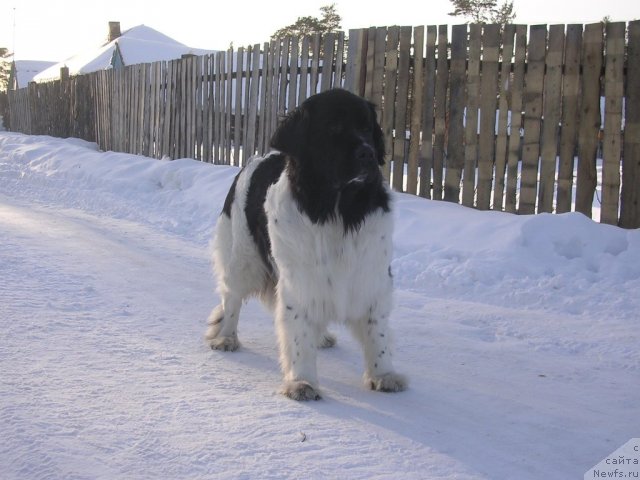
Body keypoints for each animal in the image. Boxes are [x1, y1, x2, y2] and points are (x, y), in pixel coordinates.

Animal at [206, 88, 404, 400]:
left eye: (366, 127)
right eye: (334, 127)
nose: (368, 153)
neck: (337, 209)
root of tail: (256, 160)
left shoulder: (371, 275)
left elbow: (377, 330)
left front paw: (383, 374)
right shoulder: (298, 279)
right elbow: (298, 333)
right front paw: (302, 381)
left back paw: (322, 337)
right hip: (242, 258)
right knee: (231, 298)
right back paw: (226, 337)